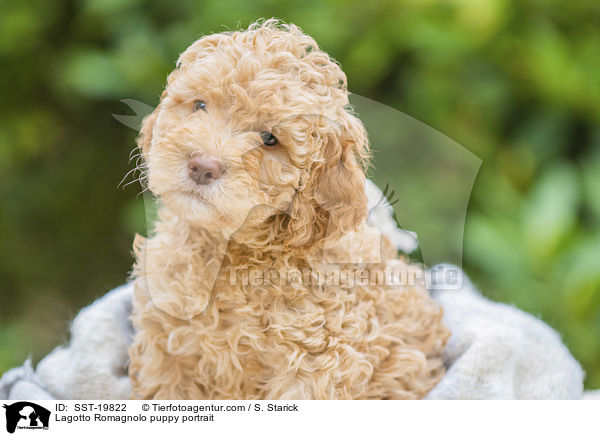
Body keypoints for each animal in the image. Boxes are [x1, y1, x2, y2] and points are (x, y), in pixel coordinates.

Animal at [129, 17, 448, 398]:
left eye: (270, 139)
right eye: (200, 105)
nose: (202, 166)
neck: (232, 253)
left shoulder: (315, 362)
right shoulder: (166, 346)